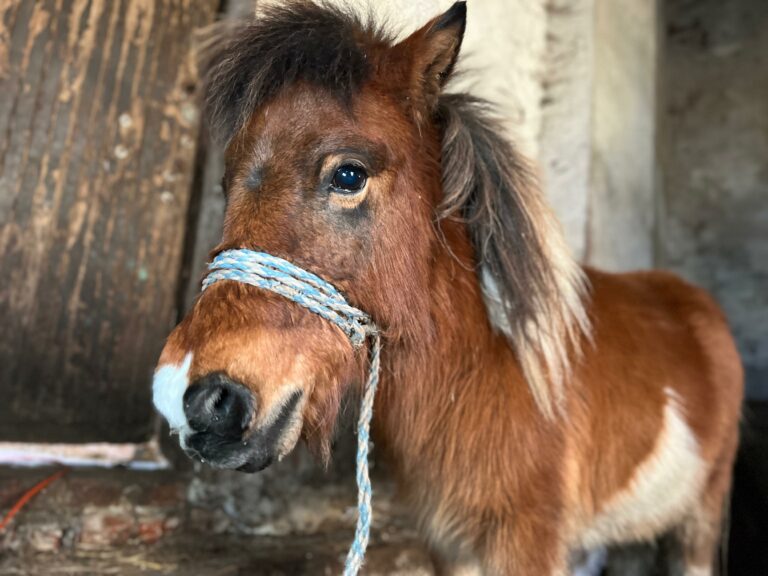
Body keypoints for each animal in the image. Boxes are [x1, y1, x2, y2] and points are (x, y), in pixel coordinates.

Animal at [150, 2, 744, 572]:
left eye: (348, 174)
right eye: (226, 182)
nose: (191, 396)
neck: (486, 380)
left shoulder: (530, 545)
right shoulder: (447, 547)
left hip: (701, 519)